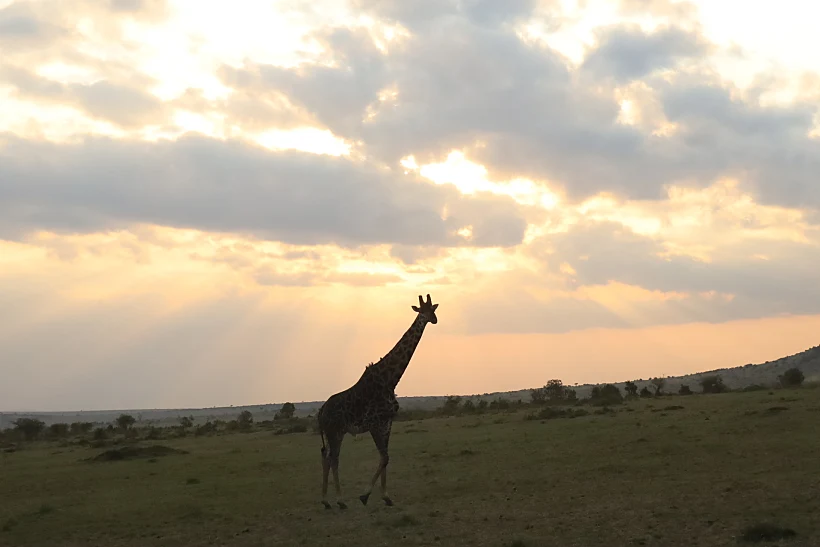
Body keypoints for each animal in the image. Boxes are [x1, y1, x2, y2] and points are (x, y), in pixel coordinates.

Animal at [318, 294, 438, 512]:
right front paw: (364, 495)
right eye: (422, 311)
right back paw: (340, 500)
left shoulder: (387, 422)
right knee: (333, 458)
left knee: (326, 456)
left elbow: (386, 458)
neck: (390, 379)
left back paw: (326, 501)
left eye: (433, 309)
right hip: (334, 431)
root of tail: (320, 412)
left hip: (335, 432)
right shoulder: (375, 423)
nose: (433, 320)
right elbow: (384, 457)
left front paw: (386, 497)